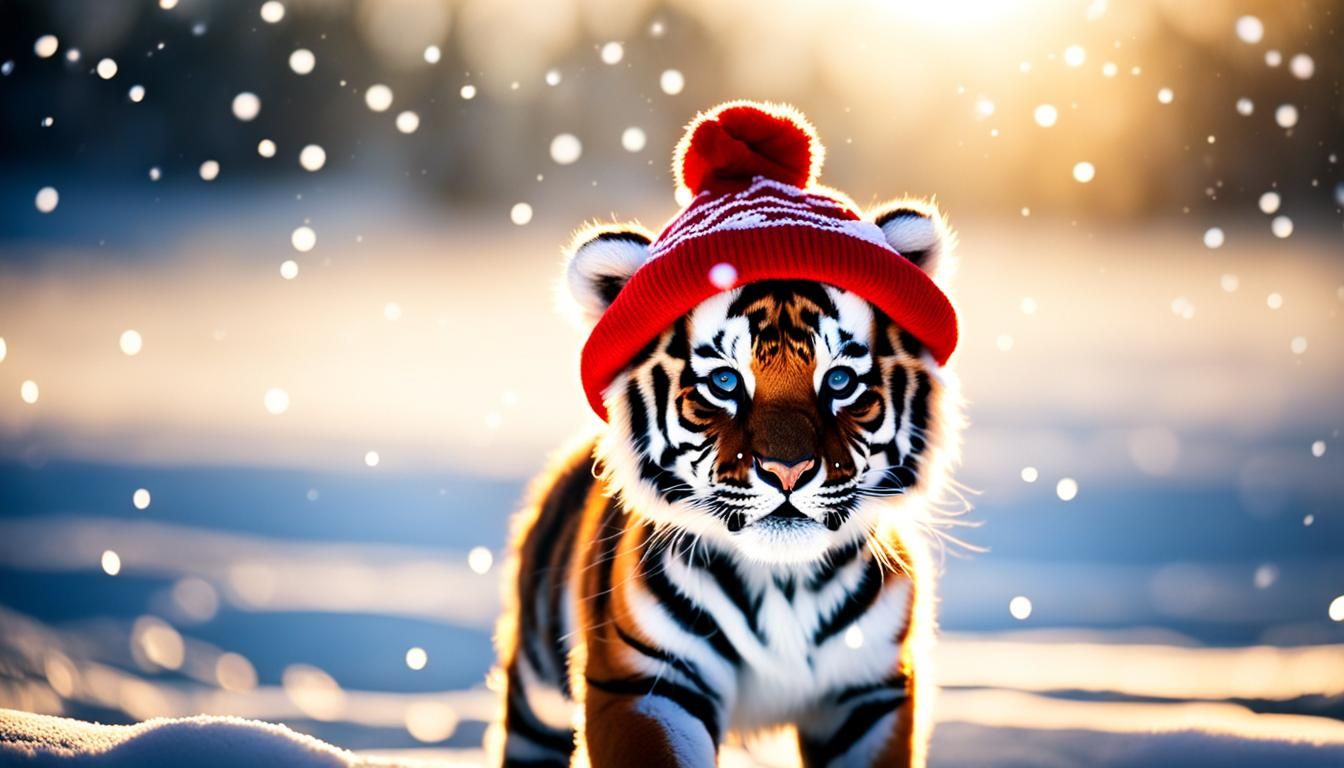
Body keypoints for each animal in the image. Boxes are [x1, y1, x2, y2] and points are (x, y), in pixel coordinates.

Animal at [492, 103, 964, 768]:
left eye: (839, 378)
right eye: (723, 380)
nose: (788, 472)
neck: (785, 585)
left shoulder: (871, 693)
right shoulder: (645, 684)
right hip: (535, 689)